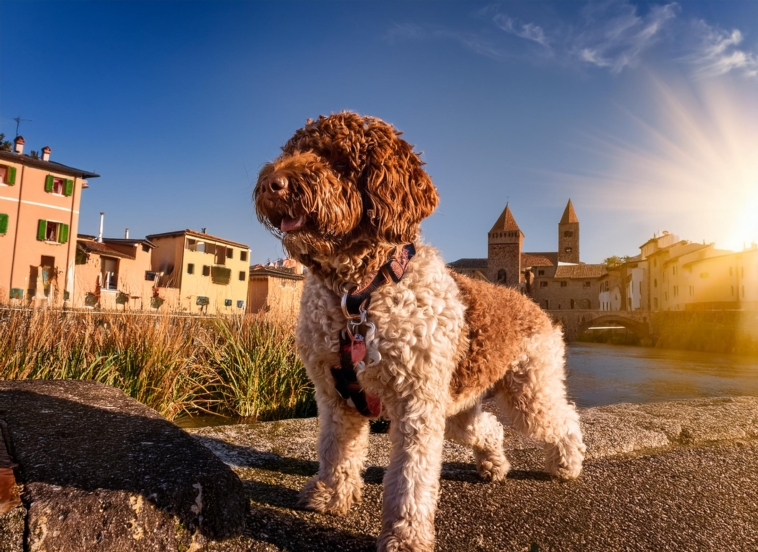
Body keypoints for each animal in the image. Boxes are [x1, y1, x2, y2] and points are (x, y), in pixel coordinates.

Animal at [255, 112, 588, 552]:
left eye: (338, 159)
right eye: (292, 151)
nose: (271, 183)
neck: (358, 293)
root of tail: (532, 304)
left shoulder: (416, 405)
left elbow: (410, 479)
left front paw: (405, 535)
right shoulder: (335, 396)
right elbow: (335, 450)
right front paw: (330, 495)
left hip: (528, 392)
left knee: (564, 418)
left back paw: (567, 464)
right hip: (457, 405)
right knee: (489, 428)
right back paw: (494, 464)